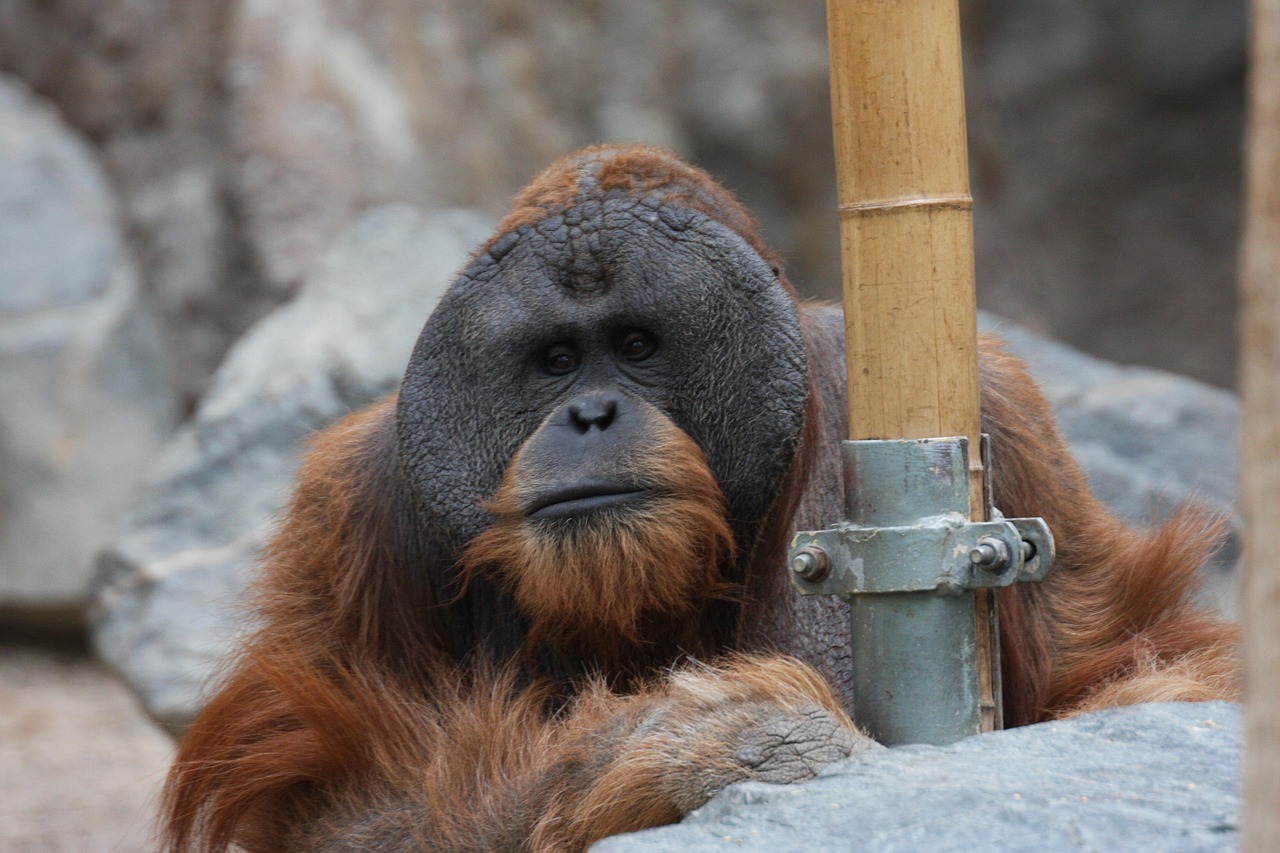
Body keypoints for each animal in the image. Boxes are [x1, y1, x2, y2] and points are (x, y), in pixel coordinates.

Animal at [161, 145, 1238, 853]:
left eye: (637, 345)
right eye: (555, 360)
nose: (590, 412)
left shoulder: (998, 413)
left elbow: (1128, 669)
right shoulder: (344, 505)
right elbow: (328, 795)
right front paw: (723, 745)